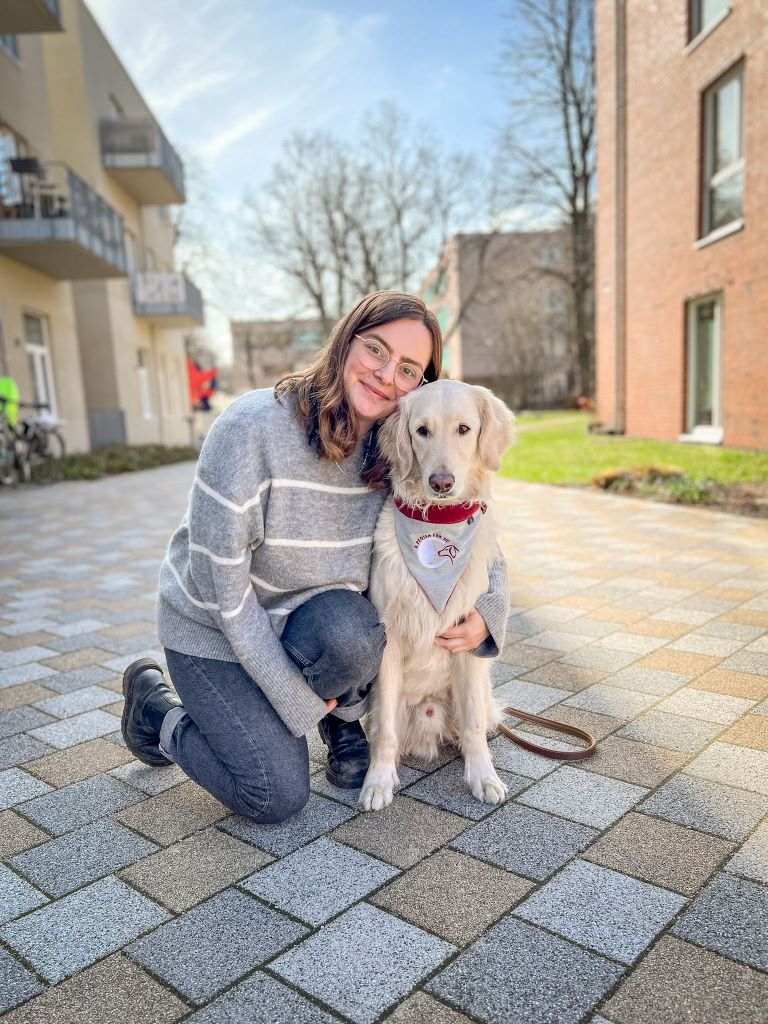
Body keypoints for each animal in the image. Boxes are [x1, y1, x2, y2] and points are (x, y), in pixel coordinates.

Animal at [360, 380, 518, 811]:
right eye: (422, 431)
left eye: (464, 429)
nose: (441, 482)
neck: (438, 521)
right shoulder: (388, 640)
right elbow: (385, 731)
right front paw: (378, 781)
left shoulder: (468, 638)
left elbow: (474, 726)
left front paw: (483, 777)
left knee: (473, 724)